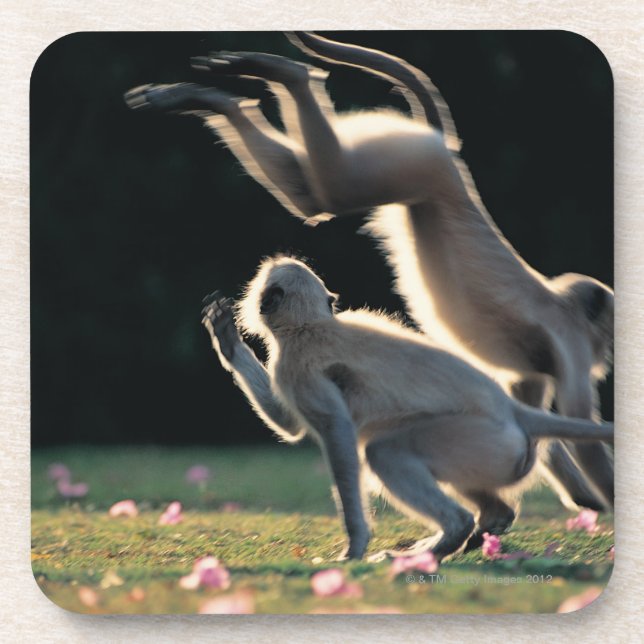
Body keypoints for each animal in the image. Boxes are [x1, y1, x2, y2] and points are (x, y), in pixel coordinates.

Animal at [125, 32, 614, 513]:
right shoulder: (571, 342)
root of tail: (448, 155)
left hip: (411, 168)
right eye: (605, 333)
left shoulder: (537, 369)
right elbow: (578, 432)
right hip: (421, 164)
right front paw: (604, 501)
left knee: (312, 198)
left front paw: (582, 497)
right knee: (331, 194)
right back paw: (285, 73)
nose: (608, 353)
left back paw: (222, 96)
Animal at [200, 255, 613, 561]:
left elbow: (335, 434)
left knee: (384, 451)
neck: (308, 326)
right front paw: (227, 340)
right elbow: (291, 425)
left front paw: (355, 546)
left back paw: (450, 535)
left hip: (481, 440)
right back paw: (484, 524)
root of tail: (513, 409)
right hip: (497, 454)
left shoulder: (295, 368)